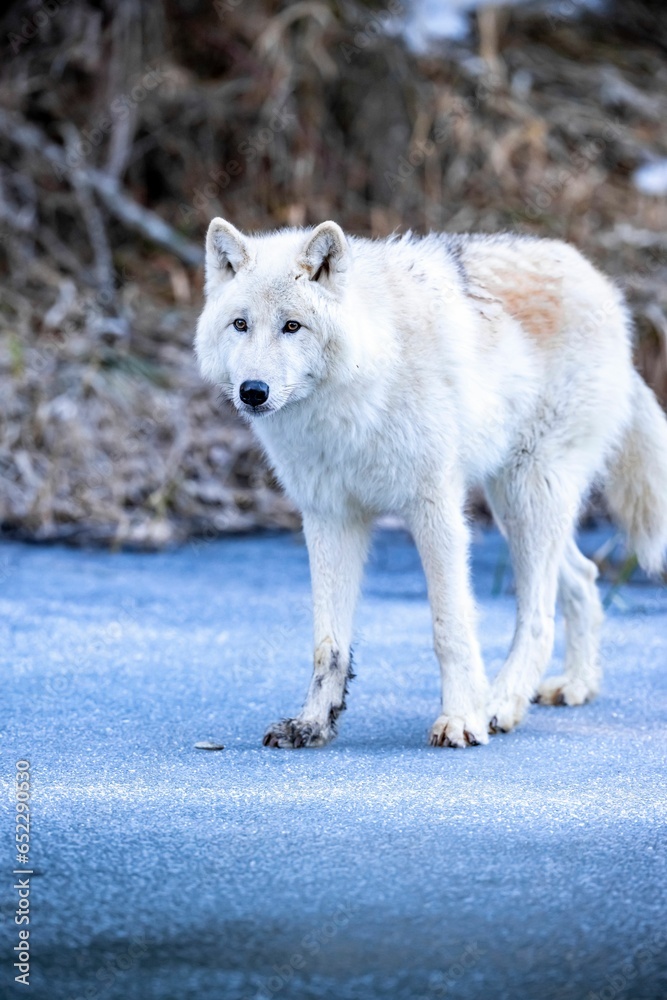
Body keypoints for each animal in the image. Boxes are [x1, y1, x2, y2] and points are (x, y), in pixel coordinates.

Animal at [195, 219, 667, 749]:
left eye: (292, 326)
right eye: (241, 325)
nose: (253, 392)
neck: (360, 392)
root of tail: (605, 289)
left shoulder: (435, 508)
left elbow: (450, 629)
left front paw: (461, 719)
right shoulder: (329, 517)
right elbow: (328, 643)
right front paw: (313, 723)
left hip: (529, 496)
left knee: (539, 617)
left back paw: (499, 704)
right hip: (515, 506)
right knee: (584, 578)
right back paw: (576, 685)